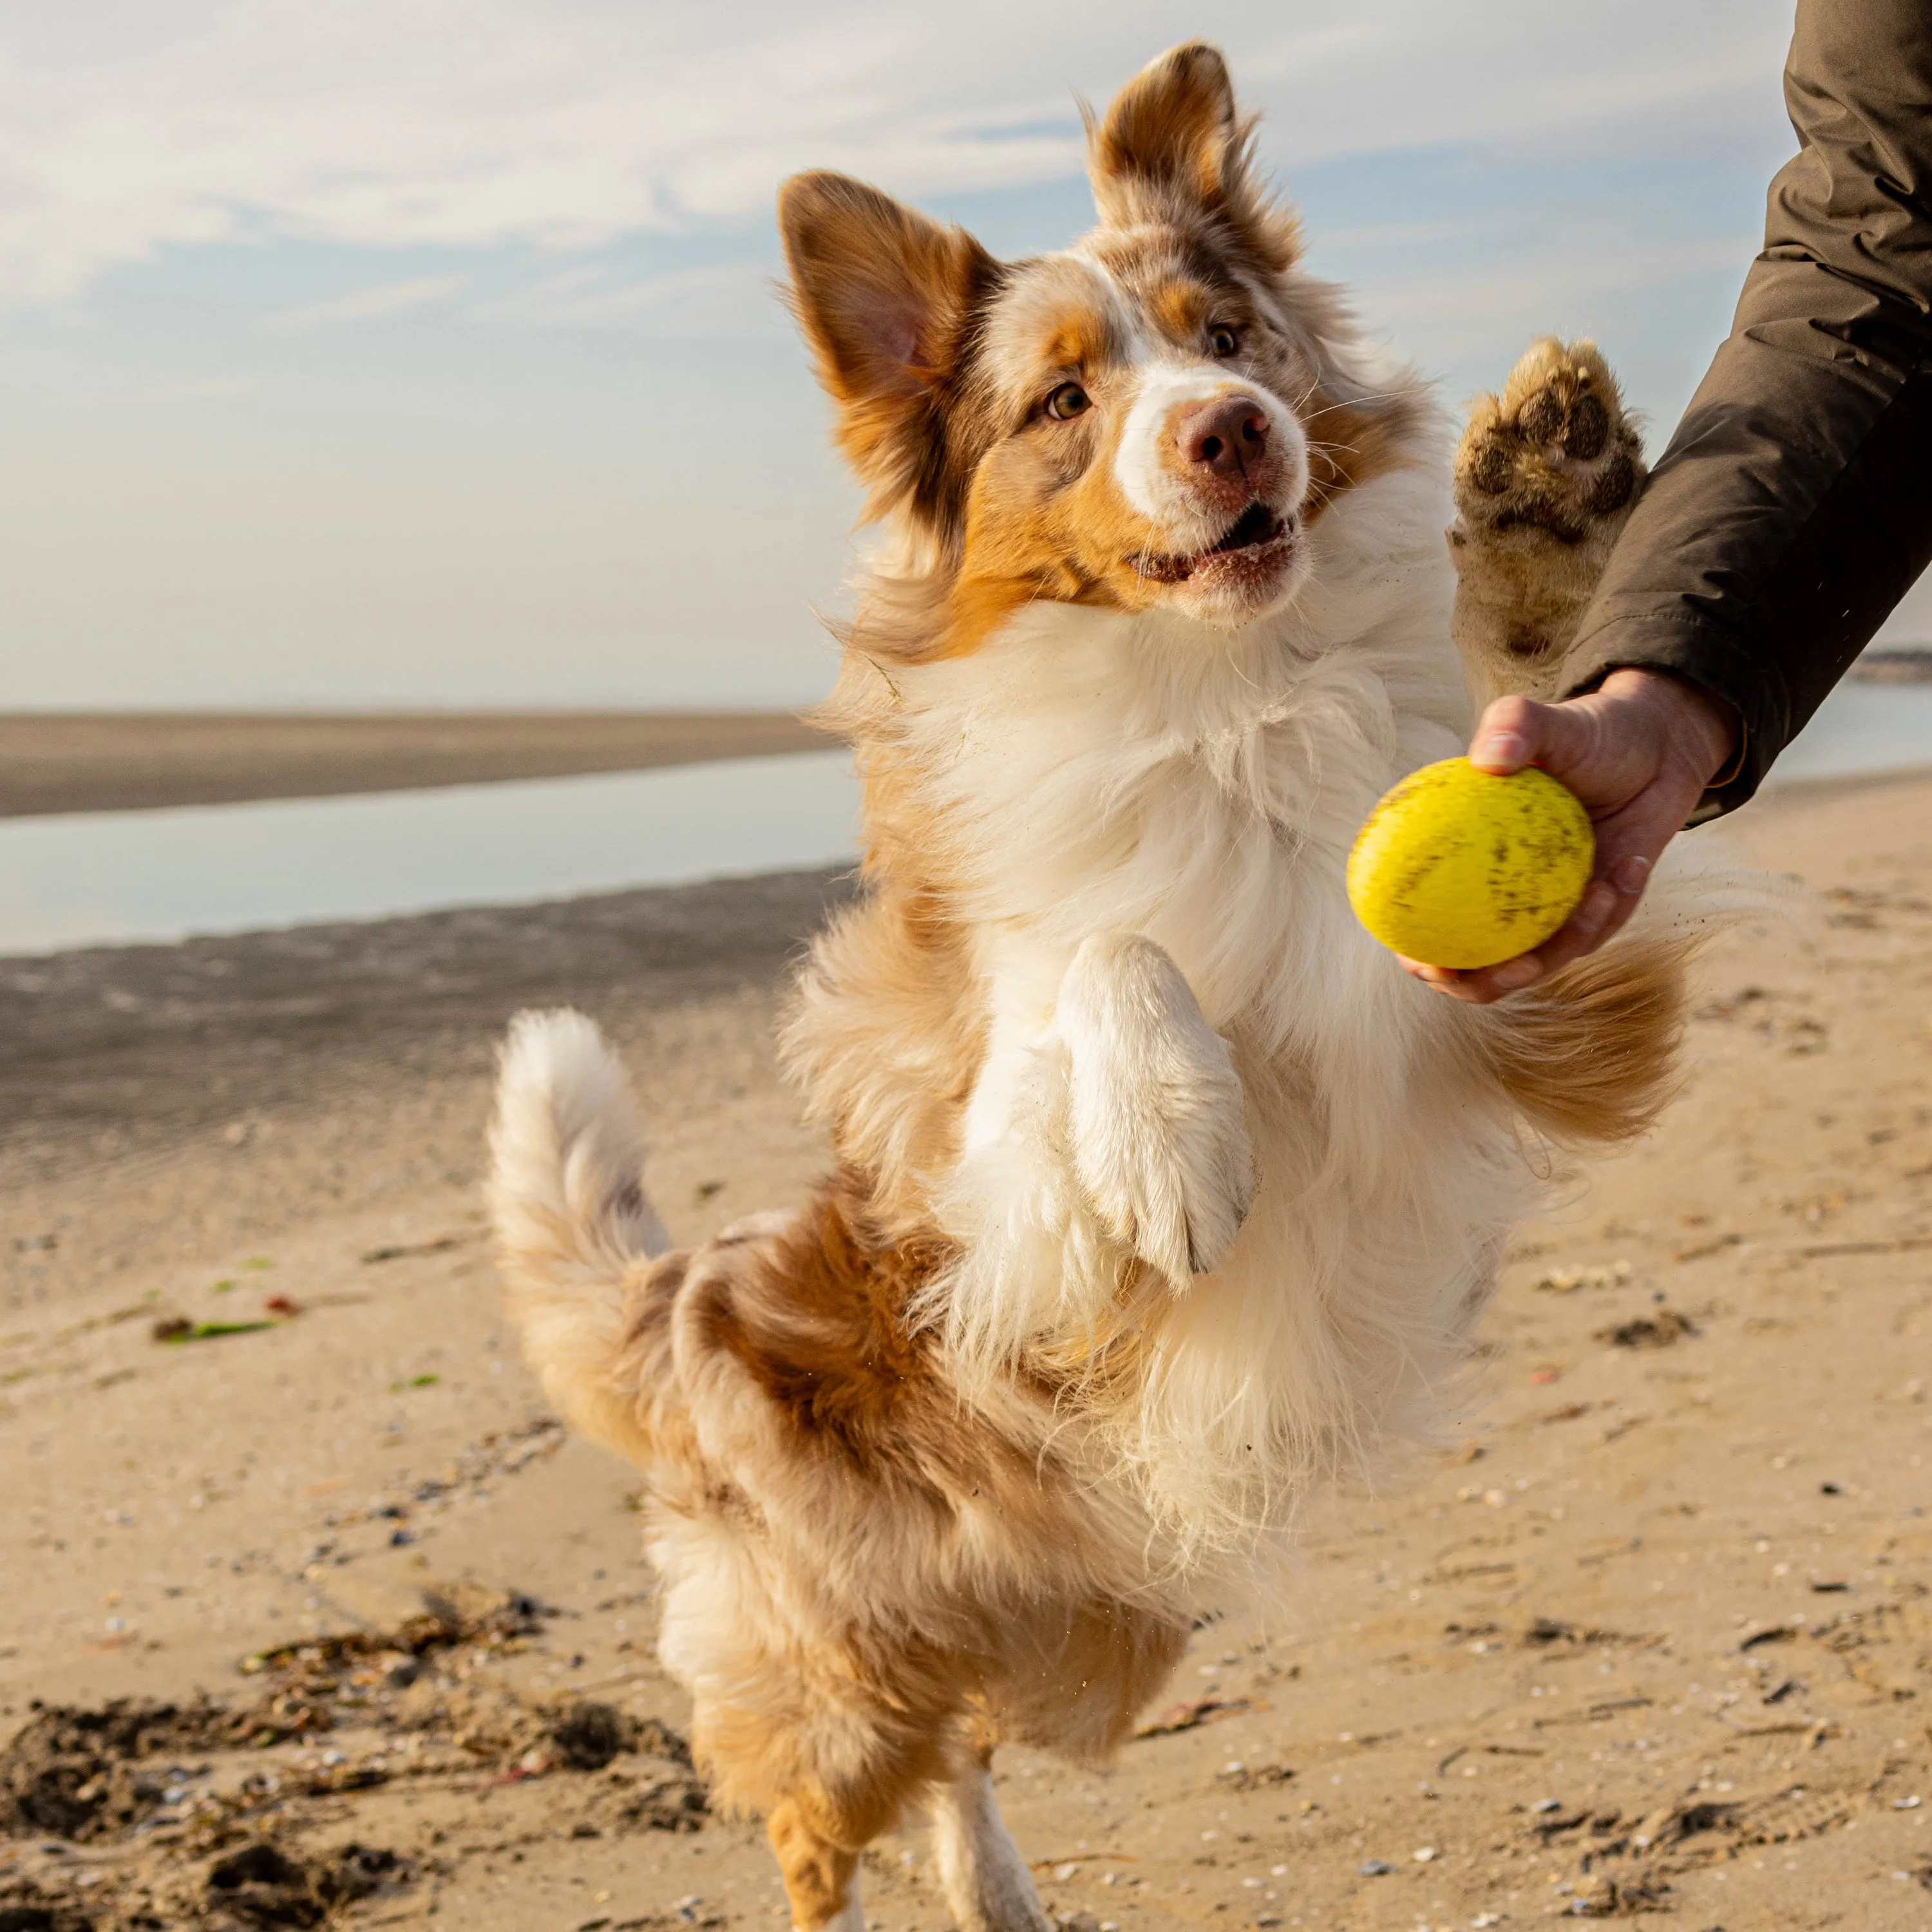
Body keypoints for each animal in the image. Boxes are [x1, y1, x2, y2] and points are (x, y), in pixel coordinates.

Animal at [487, 45, 1723, 1932]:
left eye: (1226, 332)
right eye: (1064, 399)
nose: (1232, 430)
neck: (1226, 699)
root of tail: (691, 1288)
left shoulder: (1513, 1003)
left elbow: (1524, 683)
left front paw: (1546, 477)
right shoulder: (988, 1226)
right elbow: (1094, 949)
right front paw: (1169, 1139)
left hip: (1048, 1627)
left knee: (958, 1763)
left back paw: (1001, 1893)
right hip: (830, 1679)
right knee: (819, 1830)